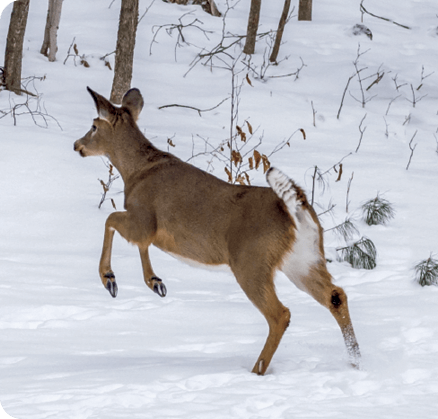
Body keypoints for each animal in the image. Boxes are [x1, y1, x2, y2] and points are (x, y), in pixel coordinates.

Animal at [75, 87, 362, 376]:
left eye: (93, 126)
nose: (77, 145)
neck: (136, 172)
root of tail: (296, 210)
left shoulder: (144, 219)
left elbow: (110, 219)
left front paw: (110, 279)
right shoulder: (147, 228)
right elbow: (138, 243)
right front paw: (155, 282)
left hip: (251, 261)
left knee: (280, 313)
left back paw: (257, 370)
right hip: (303, 258)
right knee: (335, 295)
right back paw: (355, 360)